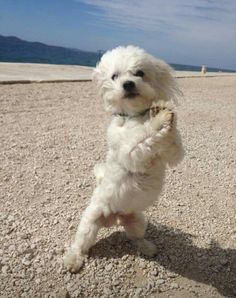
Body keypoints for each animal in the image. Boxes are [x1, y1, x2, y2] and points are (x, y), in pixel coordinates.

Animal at [64, 46, 184, 272]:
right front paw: (159, 119)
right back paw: (73, 260)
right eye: (114, 76)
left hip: (137, 220)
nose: (128, 84)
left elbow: (174, 146)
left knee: (135, 237)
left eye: (139, 73)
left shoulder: (173, 155)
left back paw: (147, 247)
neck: (135, 117)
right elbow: (143, 135)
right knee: (80, 244)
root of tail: (114, 218)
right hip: (89, 223)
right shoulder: (130, 150)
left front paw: (164, 113)